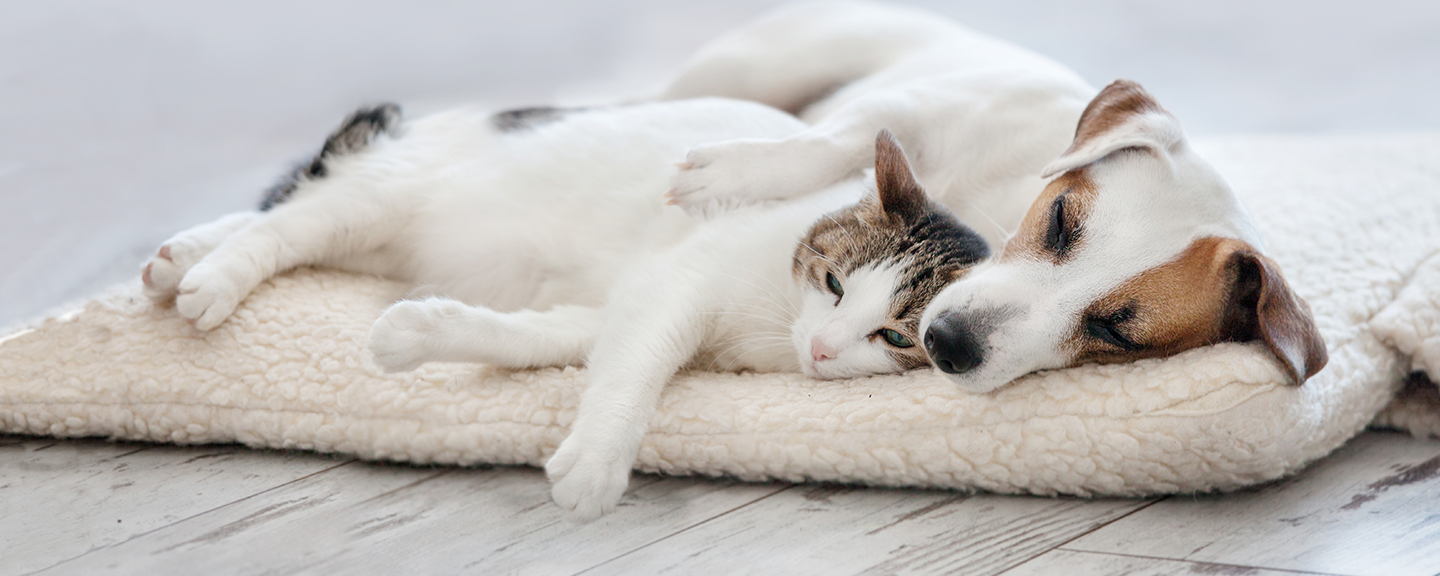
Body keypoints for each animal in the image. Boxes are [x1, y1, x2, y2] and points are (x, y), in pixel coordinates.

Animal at [143, 99, 990, 521]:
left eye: (894, 338)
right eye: (836, 284)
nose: (820, 349)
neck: (774, 328)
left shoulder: (611, 305)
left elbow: (535, 338)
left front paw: (418, 333)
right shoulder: (674, 285)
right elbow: (638, 370)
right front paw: (598, 462)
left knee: (289, 218)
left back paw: (177, 258)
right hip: (387, 195)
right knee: (282, 226)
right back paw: (209, 277)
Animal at [662, 0, 1324, 391]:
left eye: (1116, 334)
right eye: (1059, 219)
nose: (947, 343)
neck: (988, 212)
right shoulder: (920, 109)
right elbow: (833, 141)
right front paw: (725, 174)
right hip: (760, 66)